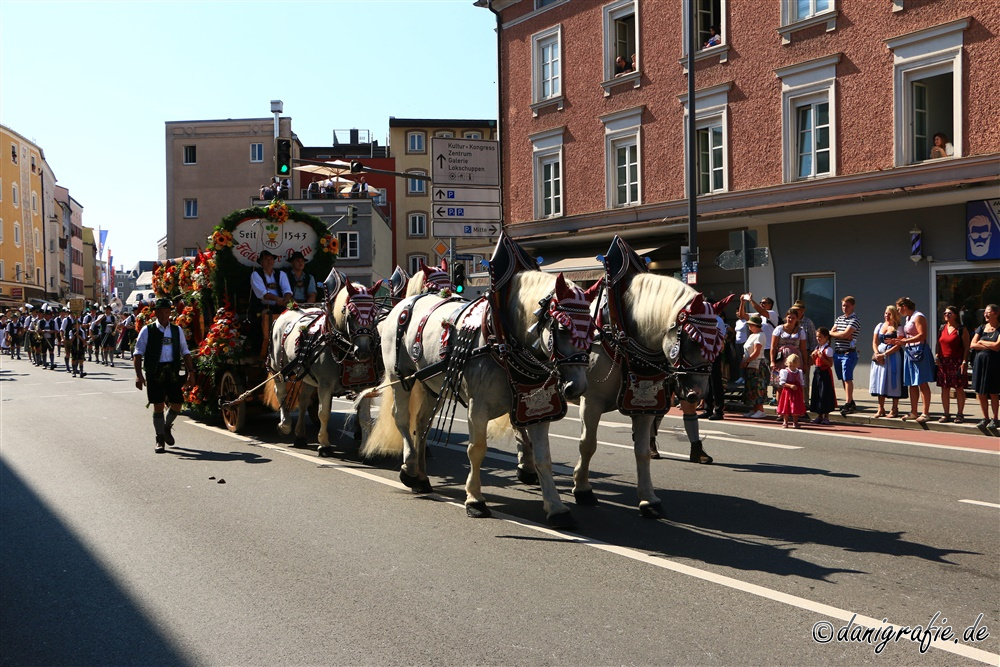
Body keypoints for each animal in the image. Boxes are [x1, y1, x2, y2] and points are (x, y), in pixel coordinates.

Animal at [268, 280, 380, 456]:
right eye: (351, 314)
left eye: (374, 313)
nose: (362, 351)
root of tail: (288, 310)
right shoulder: (325, 385)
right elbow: (324, 413)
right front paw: (324, 444)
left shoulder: (364, 386)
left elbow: (365, 417)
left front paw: (365, 449)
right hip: (277, 368)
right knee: (280, 392)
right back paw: (284, 425)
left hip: (307, 374)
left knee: (304, 399)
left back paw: (300, 435)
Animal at [360, 272, 592, 528]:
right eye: (562, 328)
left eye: (592, 329)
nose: (577, 387)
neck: (501, 340)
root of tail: (403, 303)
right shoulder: (477, 407)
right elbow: (477, 450)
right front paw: (475, 499)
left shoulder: (537, 409)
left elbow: (544, 458)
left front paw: (556, 507)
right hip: (400, 377)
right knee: (402, 418)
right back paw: (410, 468)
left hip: (431, 385)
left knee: (421, 425)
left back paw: (421, 477)